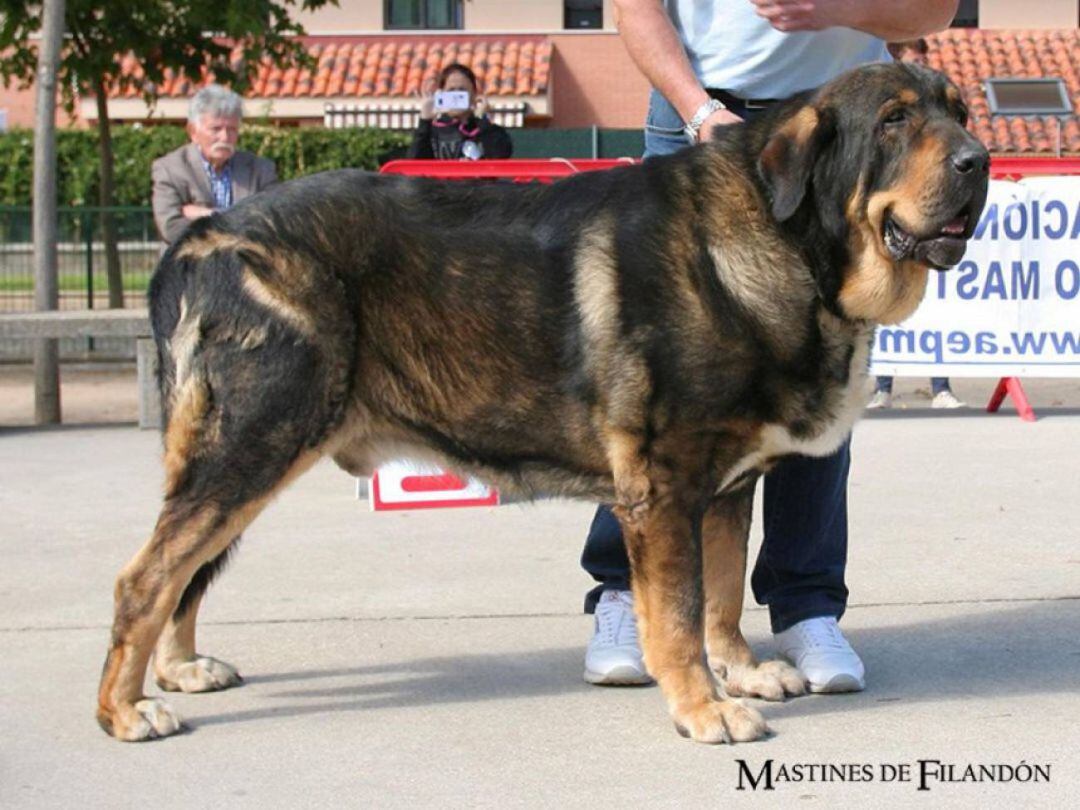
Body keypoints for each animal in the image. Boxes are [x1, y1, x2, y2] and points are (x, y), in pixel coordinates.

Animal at [99, 66, 989, 747]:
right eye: (895, 121)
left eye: (960, 111)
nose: (979, 160)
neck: (779, 244)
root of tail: (202, 234)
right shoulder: (664, 487)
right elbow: (677, 611)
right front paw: (703, 707)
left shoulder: (727, 487)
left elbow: (725, 594)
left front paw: (738, 670)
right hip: (255, 443)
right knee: (147, 578)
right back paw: (125, 708)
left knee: (184, 573)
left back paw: (178, 670)